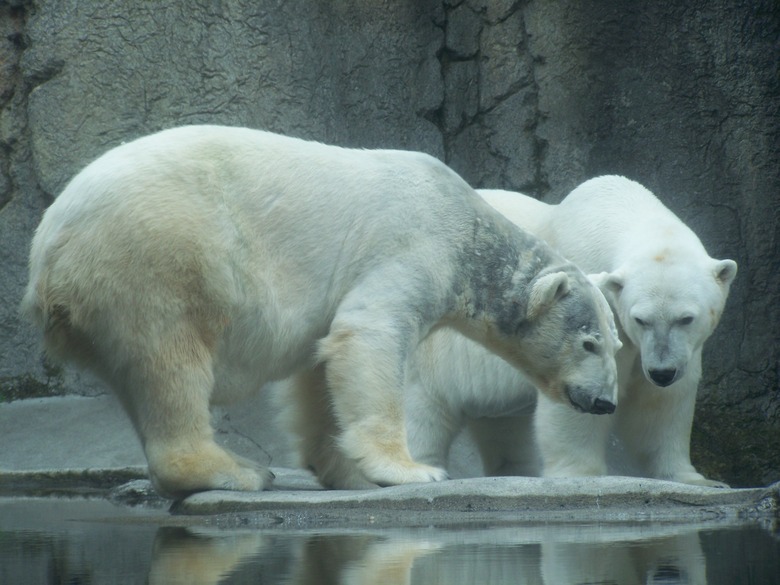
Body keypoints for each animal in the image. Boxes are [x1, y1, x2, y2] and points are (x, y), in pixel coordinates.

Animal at [21, 124, 620, 498]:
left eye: (615, 344)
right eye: (588, 342)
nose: (606, 402)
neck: (469, 226)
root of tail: (47, 252)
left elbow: (319, 366)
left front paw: (343, 472)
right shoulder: (413, 243)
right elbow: (371, 332)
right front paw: (412, 470)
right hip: (157, 252)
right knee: (171, 354)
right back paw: (236, 469)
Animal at [408, 176, 736, 486]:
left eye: (686, 318)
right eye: (641, 319)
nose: (661, 372)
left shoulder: (678, 350)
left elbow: (661, 405)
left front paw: (694, 478)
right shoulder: (585, 310)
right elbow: (579, 389)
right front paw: (583, 474)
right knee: (425, 414)